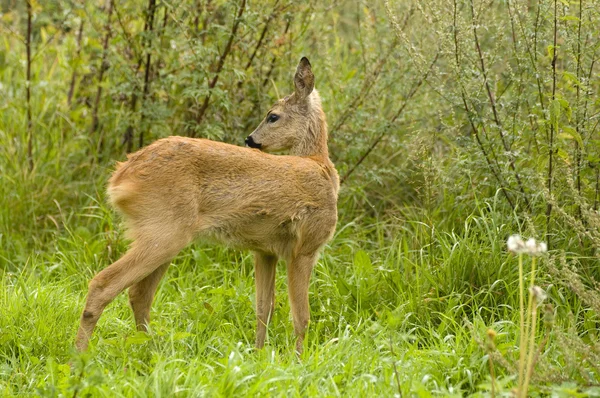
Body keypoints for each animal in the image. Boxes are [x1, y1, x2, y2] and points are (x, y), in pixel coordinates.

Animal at [74, 56, 338, 354]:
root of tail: (119, 179)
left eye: (273, 116)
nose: (250, 140)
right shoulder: (306, 247)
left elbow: (264, 309)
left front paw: (259, 354)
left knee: (139, 294)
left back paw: (153, 350)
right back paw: (79, 357)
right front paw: (298, 359)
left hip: (160, 234)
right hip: (165, 232)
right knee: (103, 284)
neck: (321, 165)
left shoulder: (264, 251)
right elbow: (301, 317)